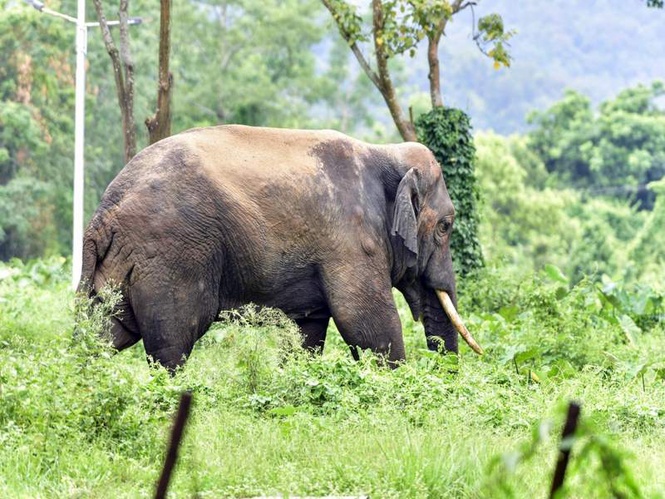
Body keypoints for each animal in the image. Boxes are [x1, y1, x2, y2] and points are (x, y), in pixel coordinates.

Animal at [78, 124, 483, 371]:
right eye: (446, 226)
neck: (384, 152)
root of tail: (104, 212)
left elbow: (309, 329)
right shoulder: (351, 239)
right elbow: (365, 322)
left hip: (120, 265)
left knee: (106, 333)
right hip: (171, 255)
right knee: (171, 344)